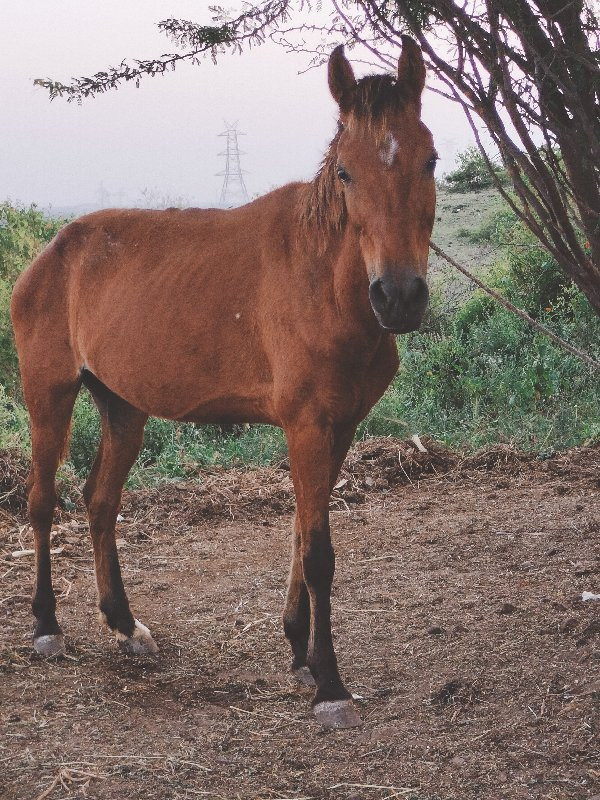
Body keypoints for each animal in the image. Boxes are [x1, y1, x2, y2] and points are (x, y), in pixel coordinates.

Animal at [10, 37, 436, 728]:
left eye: (430, 159)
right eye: (346, 172)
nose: (398, 297)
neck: (325, 281)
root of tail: (51, 252)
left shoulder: (340, 428)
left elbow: (303, 532)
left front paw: (300, 651)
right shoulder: (307, 427)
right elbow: (318, 554)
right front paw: (330, 686)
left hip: (123, 407)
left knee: (100, 503)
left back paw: (124, 625)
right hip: (49, 395)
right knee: (43, 503)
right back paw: (47, 627)